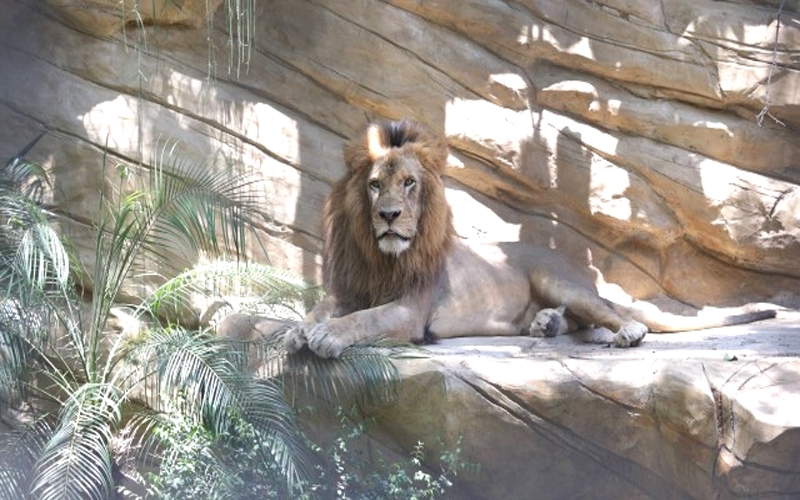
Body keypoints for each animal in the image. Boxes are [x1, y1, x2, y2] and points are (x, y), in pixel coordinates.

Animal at [284, 119, 780, 358]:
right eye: (373, 185)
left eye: (409, 183)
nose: (388, 216)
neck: (382, 257)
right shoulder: (351, 289)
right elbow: (322, 308)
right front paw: (300, 330)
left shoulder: (411, 309)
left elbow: (365, 320)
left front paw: (326, 337)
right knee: (581, 321)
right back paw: (547, 324)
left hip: (557, 279)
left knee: (612, 314)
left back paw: (623, 331)